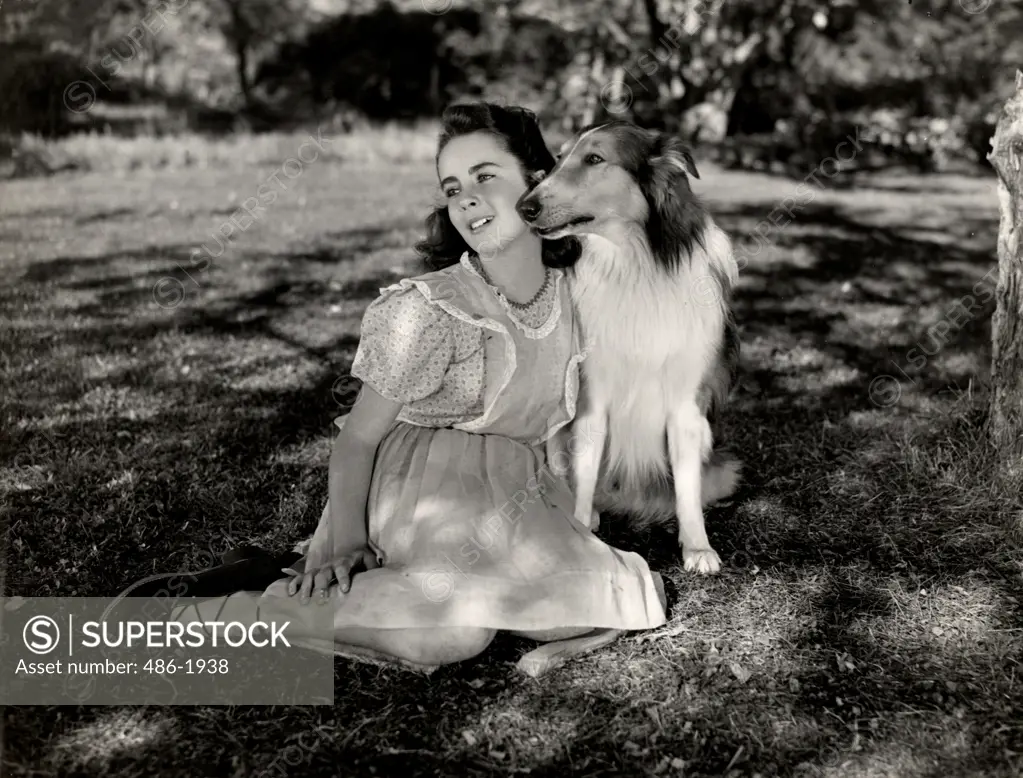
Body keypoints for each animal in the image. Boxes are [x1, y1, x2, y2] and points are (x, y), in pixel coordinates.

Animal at [515, 120, 740, 572]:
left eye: (595, 158)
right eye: (560, 157)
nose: (524, 207)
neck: (636, 264)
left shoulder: (687, 404)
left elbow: (687, 485)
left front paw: (697, 546)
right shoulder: (592, 397)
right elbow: (584, 471)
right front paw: (581, 531)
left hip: (724, 464)